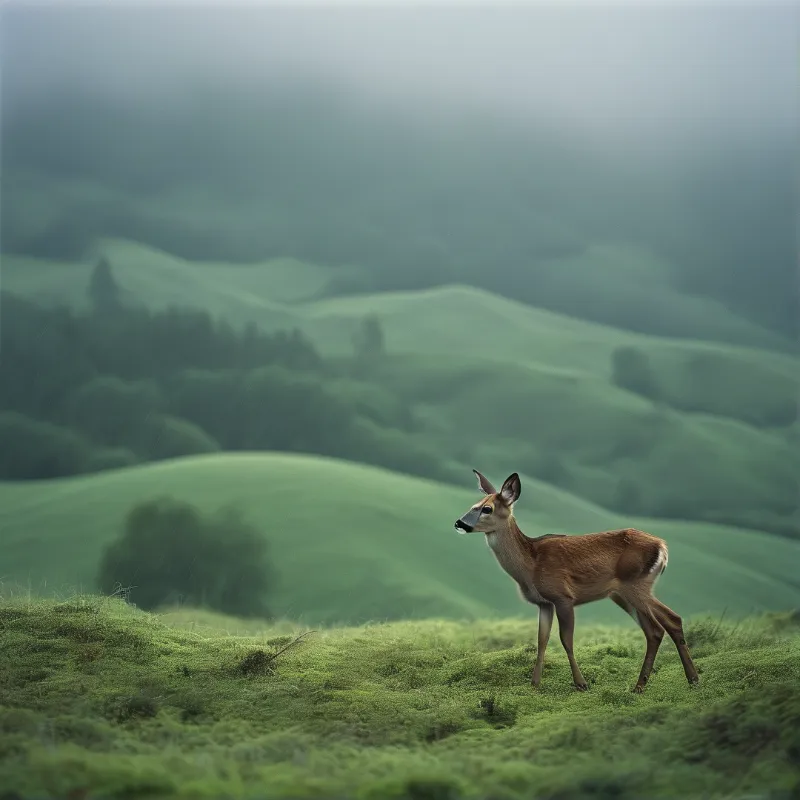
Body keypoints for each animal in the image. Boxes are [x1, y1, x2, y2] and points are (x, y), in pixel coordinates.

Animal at [454, 469, 700, 693]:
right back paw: (665, 682)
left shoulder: (563, 596)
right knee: (658, 628)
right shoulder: (544, 602)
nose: (458, 523)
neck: (530, 565)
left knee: (666, 622)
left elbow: (566, 639)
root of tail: (662, 547)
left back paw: (669, 681)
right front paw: (535, 683)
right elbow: (542, 640)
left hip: (635, 584)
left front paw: (581, 683)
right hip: (622, 594)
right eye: (474, 504)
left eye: (487, 508)